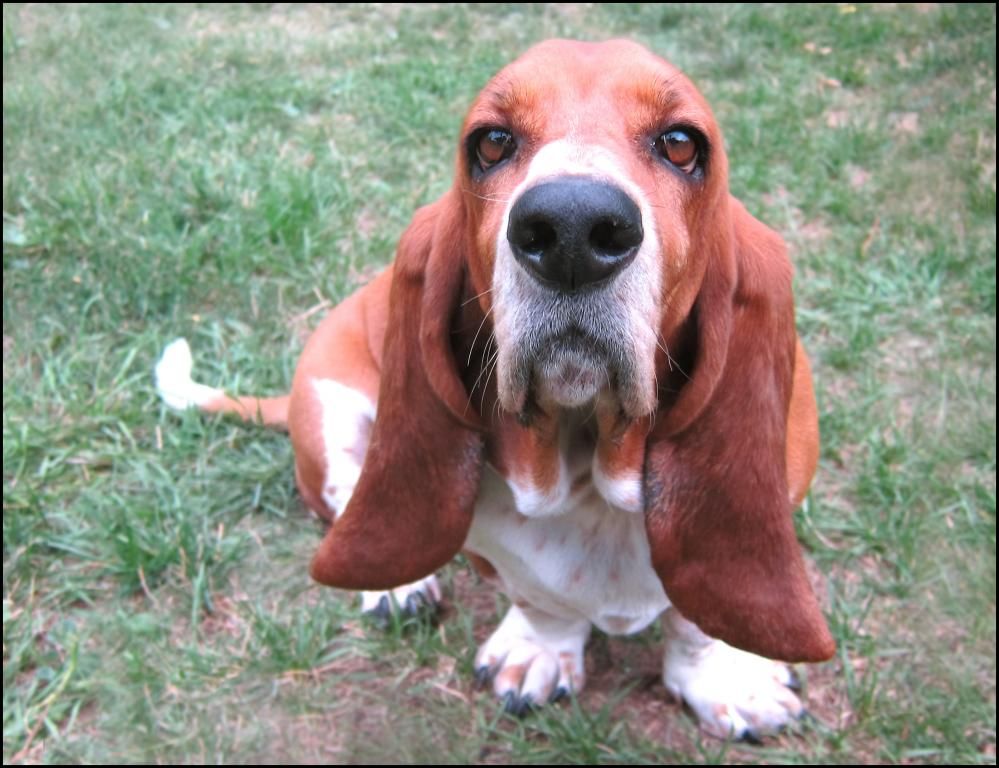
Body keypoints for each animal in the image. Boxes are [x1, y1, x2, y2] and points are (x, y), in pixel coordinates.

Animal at [156, 39, 832, 740]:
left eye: (680, 144)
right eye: (491, 142)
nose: (571, 229)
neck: (586, 470)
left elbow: (695, 619)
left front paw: (723, 681)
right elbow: (539, 601)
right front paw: (539, 651)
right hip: (329, 406)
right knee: (346, 495)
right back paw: (398, 588)